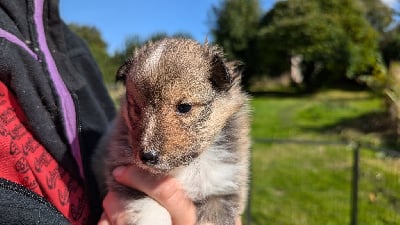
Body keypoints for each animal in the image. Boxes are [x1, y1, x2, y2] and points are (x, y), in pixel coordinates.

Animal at [93, 37, 250, 224]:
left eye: (184, 107)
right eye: (137, 109)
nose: (147, 157)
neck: (186, 167)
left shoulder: (223, 190)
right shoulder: (125, 177)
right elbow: (150, 211)